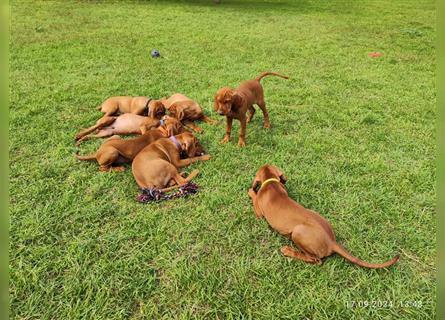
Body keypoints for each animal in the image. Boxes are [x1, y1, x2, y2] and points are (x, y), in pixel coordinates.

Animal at [246, 165, 398, 268]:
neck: (270, 182)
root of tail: (331, 242)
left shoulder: (259, 213)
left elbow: (254, 197)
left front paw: (251, 191)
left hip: (298, 233)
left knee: (315, 260)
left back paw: (289, 251)